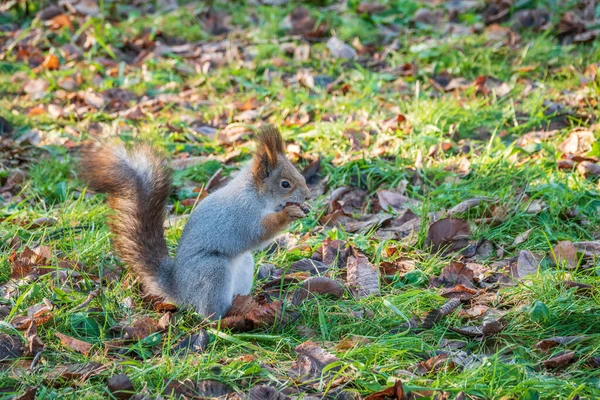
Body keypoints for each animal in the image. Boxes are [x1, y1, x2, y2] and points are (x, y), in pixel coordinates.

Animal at [79, 126, 312, 320]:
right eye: (285, 184)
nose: (308, 196)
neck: (256, 195)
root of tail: (179, 290)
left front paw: (304, 208)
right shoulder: (244, 215)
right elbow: (260, 232)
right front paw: (289, 213)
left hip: (244, 265)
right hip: (213, 271)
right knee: (208, 313)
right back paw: (227, 319)